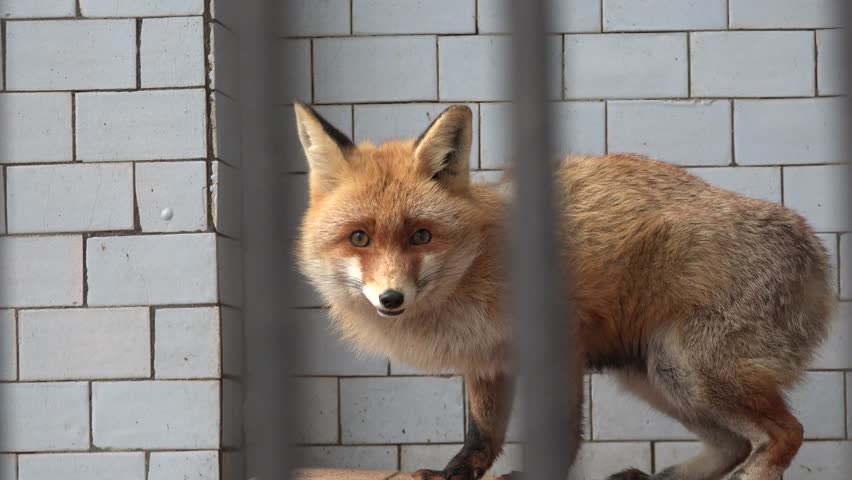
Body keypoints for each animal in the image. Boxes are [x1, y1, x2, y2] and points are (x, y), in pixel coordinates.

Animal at [293, 102, 836, 480]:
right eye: (359, 238)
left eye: (421, 236)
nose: (391, 299)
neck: (478, 263)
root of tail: (817, 257)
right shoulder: (486, 359)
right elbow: (482, 433)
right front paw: (455, 473)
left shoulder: (559, 341)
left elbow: (561, 429)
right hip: (657, 372)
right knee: (735, 445)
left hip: (691, 367)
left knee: (785, 435)